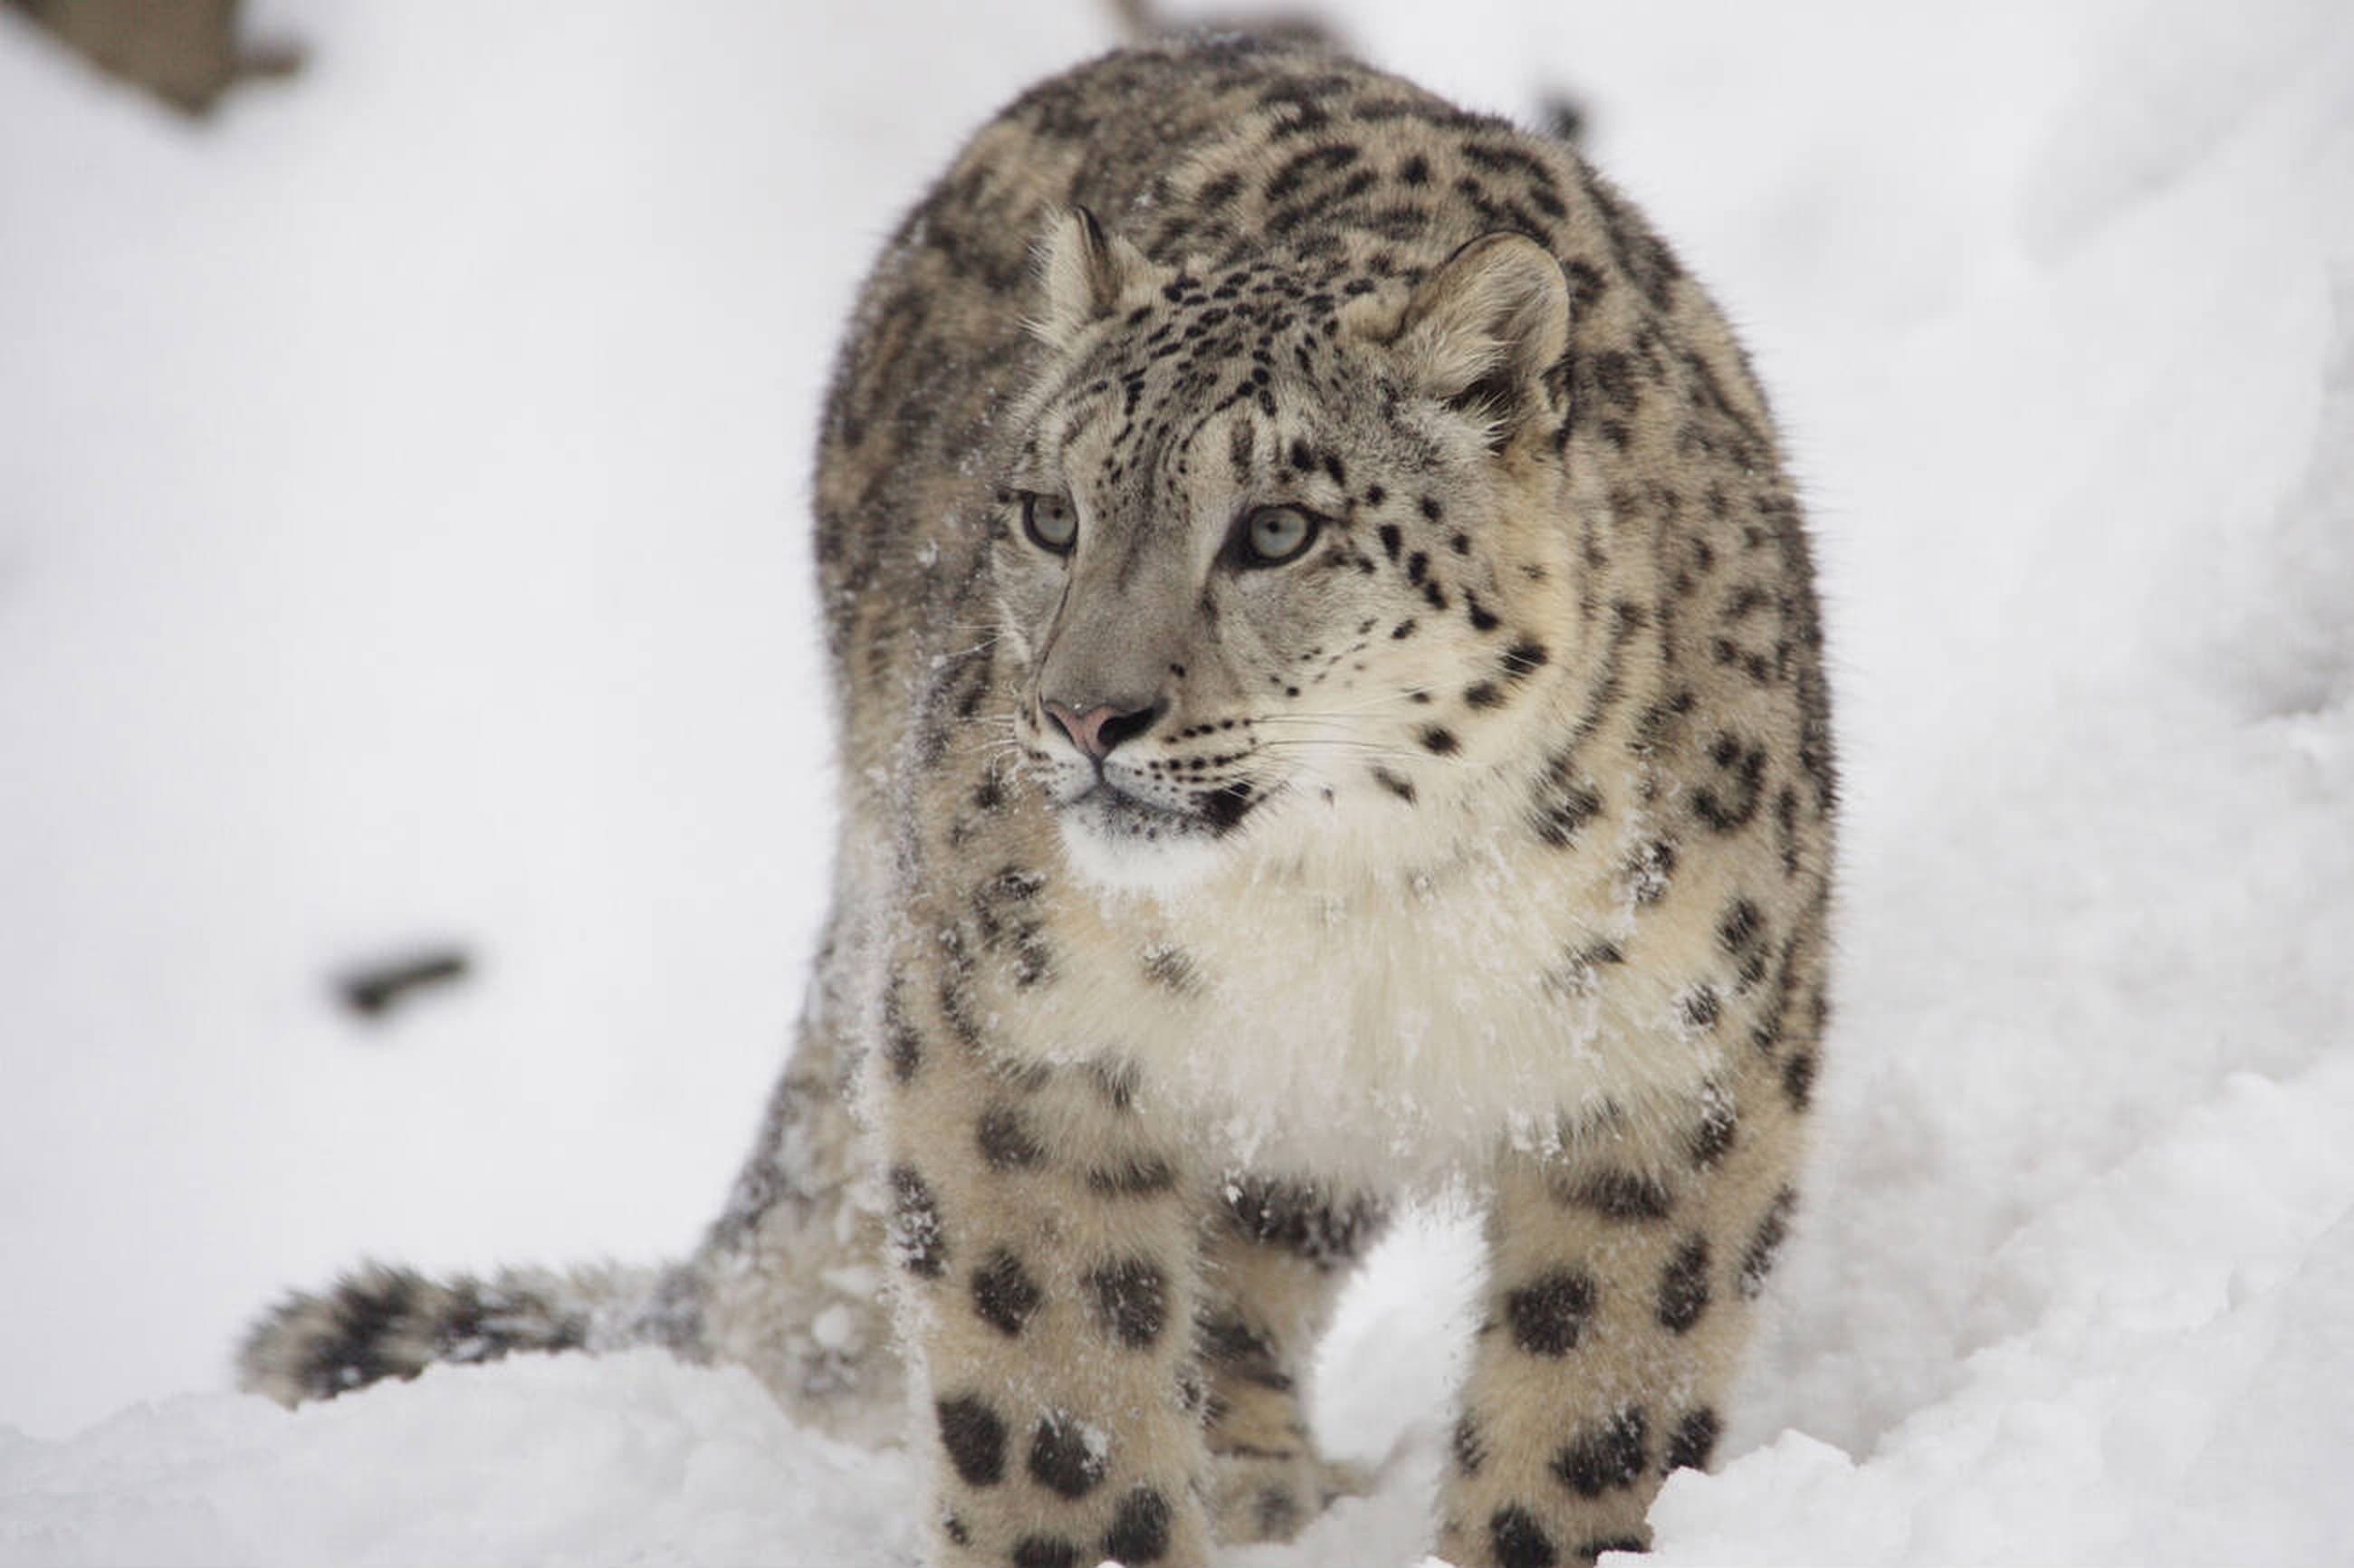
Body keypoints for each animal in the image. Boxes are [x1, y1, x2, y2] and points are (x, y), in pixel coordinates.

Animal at [238, 34, 1836, 1568]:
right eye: (1051, 513)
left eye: (1278, 528)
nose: (1085, 713)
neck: (1358, 898)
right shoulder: (1019, 1040)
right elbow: (1055, 1391)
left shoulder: (1682, 1059)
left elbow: (1598, 1394)